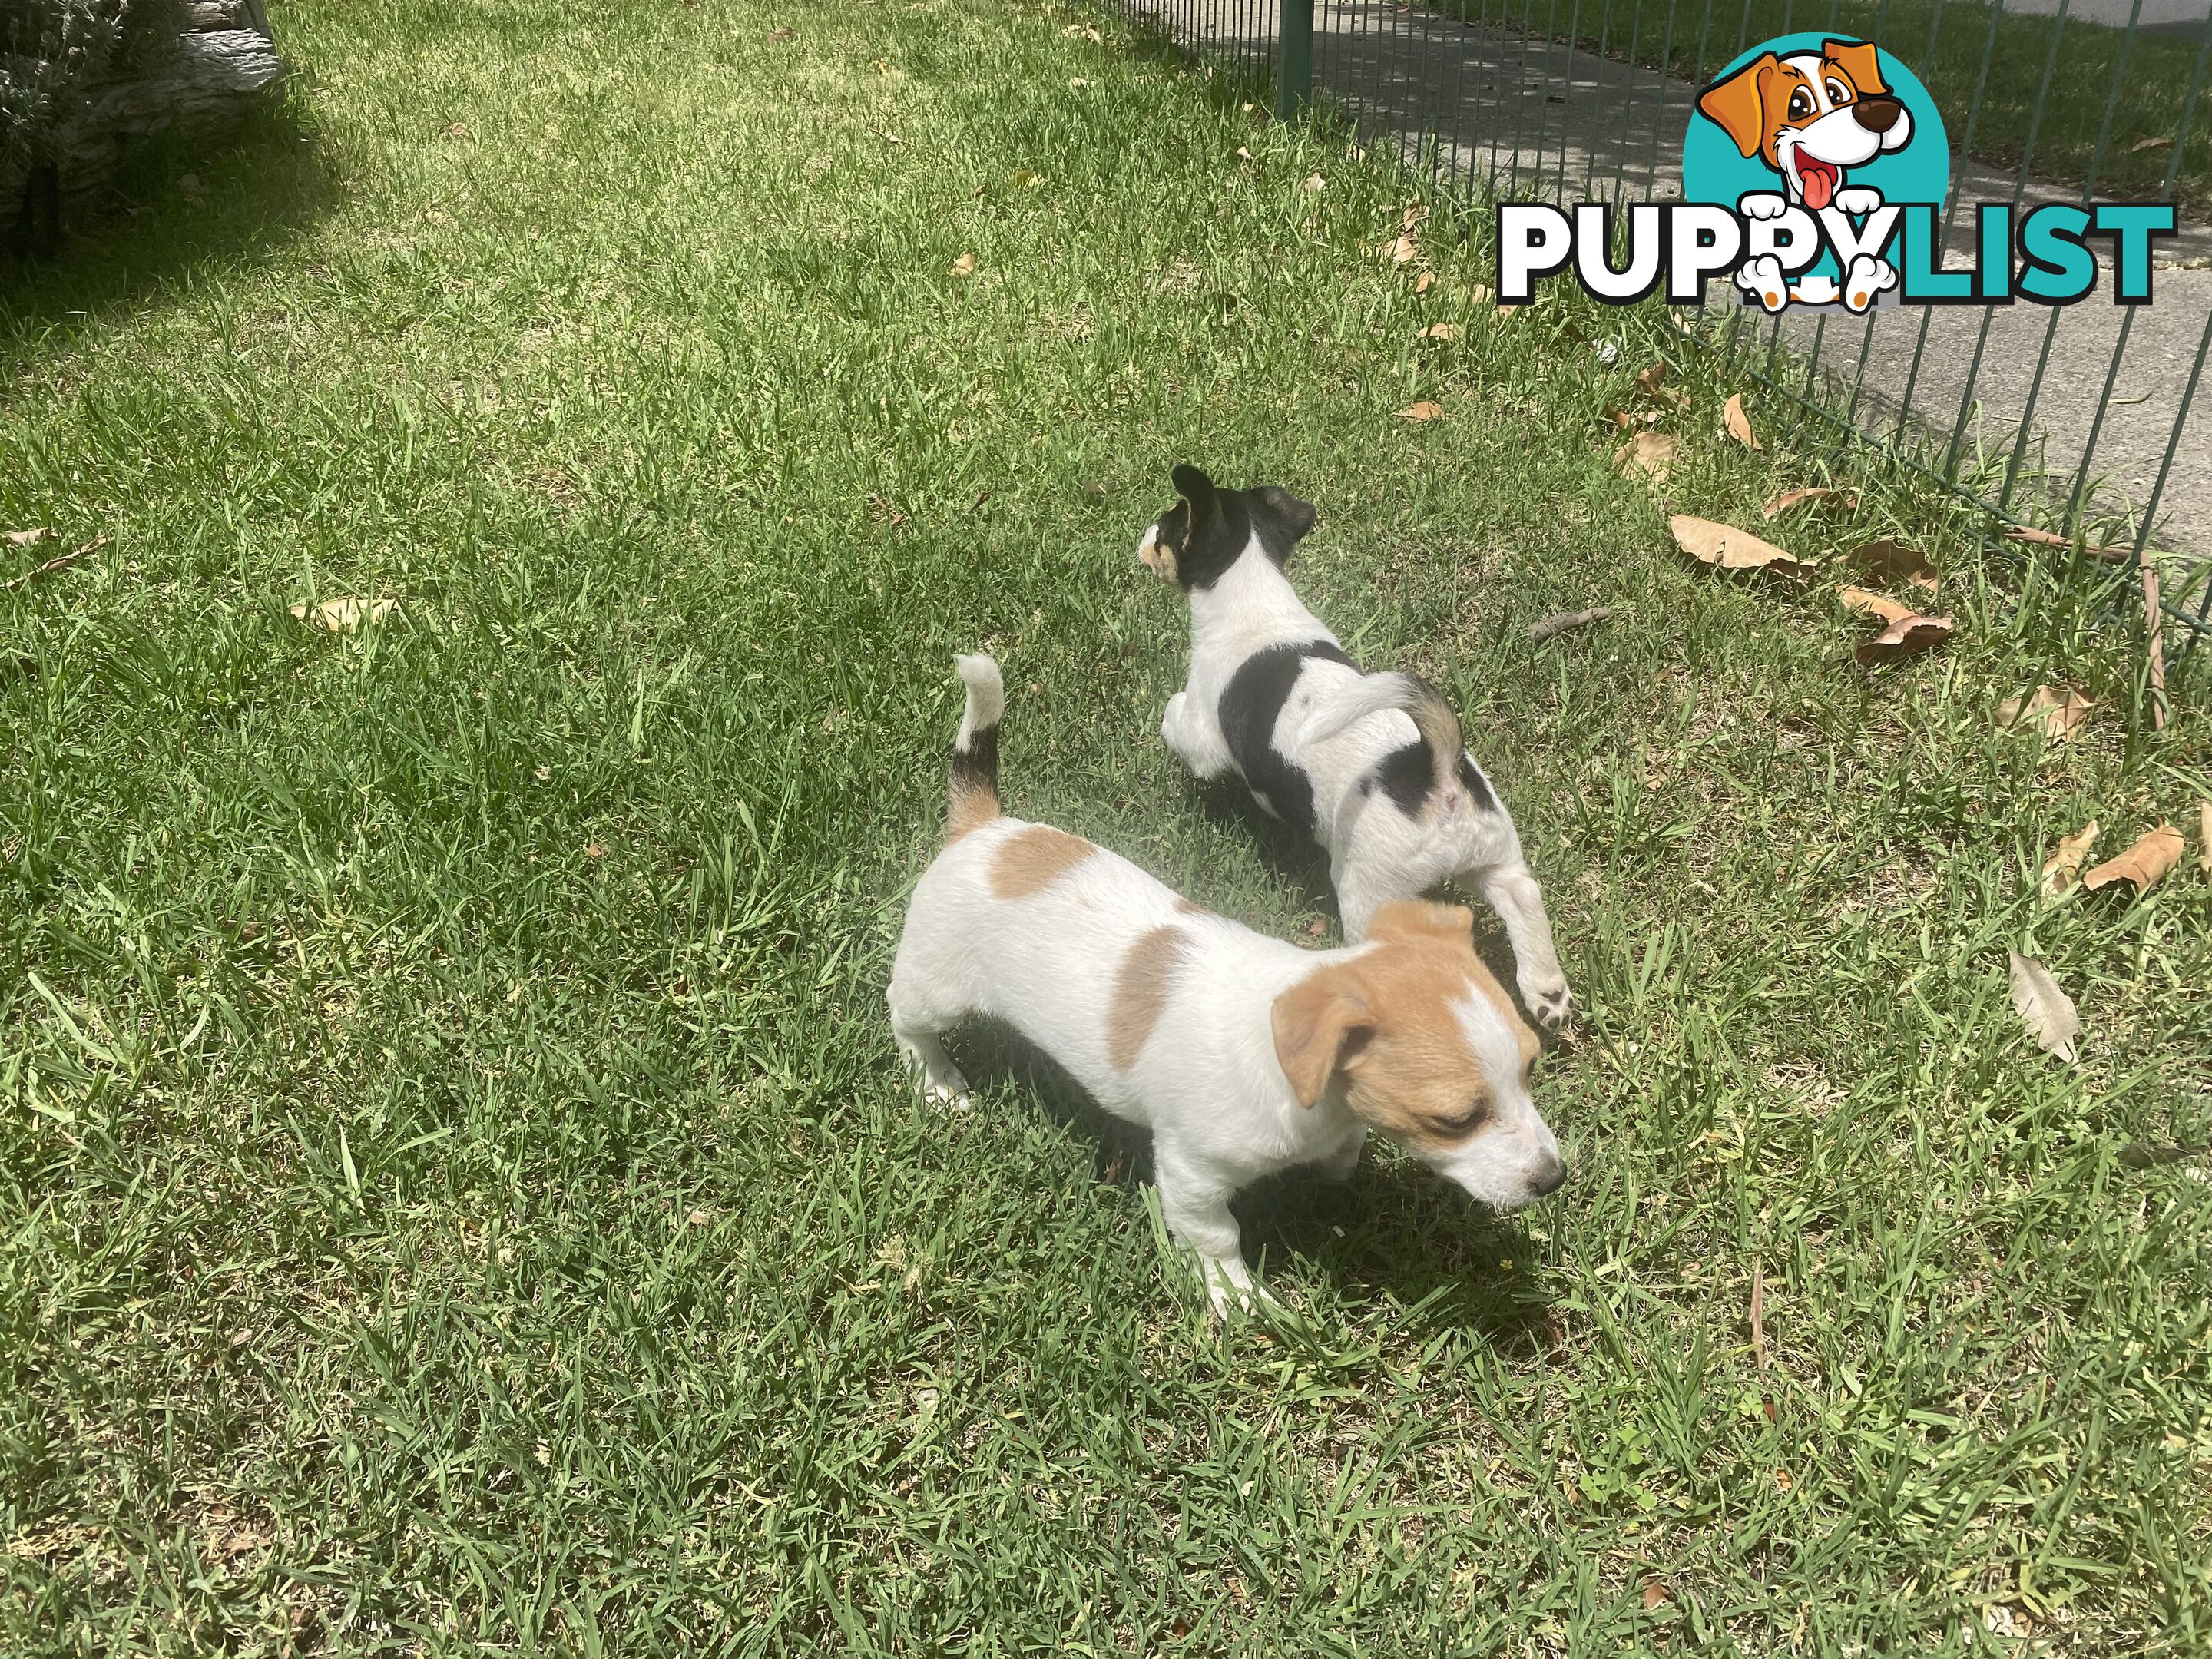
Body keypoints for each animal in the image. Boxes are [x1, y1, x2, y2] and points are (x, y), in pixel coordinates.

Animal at [889, 654, 1566, 1318]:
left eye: (1531, 1069)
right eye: (1457, 1119)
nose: (1554, 1178)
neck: (1296, 1079)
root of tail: (982, 828)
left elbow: (1345, 1148)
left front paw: (1335, 1173)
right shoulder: (1193, 1174)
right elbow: (1217, 1237)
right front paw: (1236, 1295)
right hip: (937, 986)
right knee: (907, 1022)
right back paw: (937, 1083)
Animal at [1141, 469, 1575, 1035]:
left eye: (1169, 527)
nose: (1144, 535)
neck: (1254, 594)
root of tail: (1437, 776)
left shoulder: (1203, 736)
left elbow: (1176, 719)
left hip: (1368, 892)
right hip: (1494, 852)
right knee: (1522, 895)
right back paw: (1547, 993)